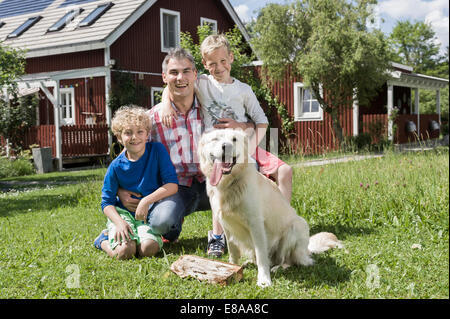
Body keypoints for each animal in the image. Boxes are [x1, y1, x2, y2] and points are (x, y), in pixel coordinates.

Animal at [197, 129, 342, 288]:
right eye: (215, 139)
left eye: (234, 139)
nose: (226, 147)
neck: (230, 183)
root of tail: (307, 252)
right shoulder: (227, 225)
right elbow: (233, 250)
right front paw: (231, 268)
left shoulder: (256, 224)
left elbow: (261, 256)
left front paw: (264, 279)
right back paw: (249, 263)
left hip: (296, 227)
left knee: (288, 261)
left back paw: (277, 268)